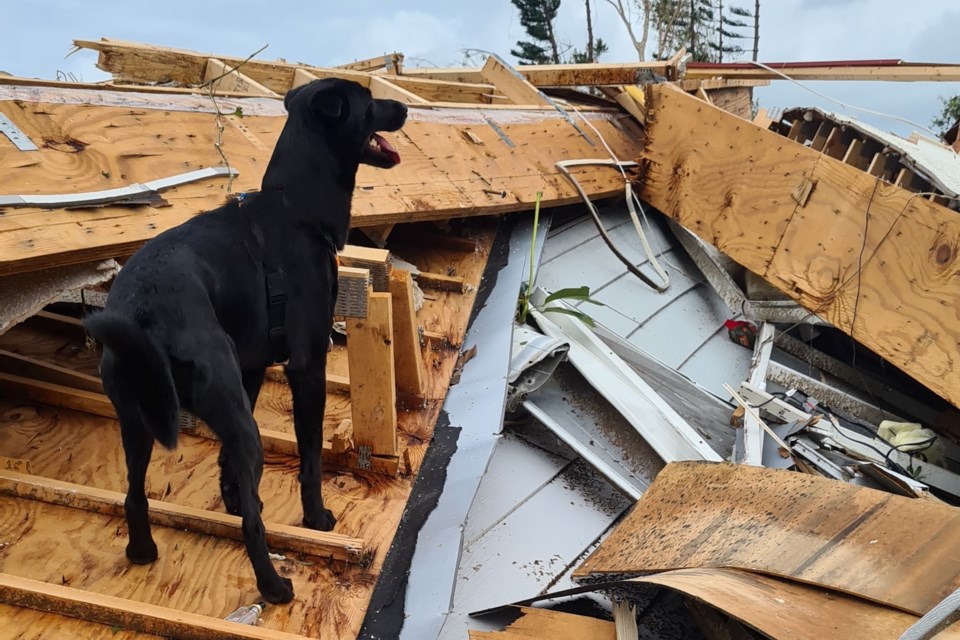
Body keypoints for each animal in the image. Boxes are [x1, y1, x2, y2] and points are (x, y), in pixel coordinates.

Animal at [84, 77, 406, 604]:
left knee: (134, 494)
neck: (296, 208)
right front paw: (316, 518)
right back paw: (274, 587)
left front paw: (233, 495)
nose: (403, 107)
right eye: (368, 99)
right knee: (253, 526)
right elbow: (310, 455)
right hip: (230, 411)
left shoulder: (250, 369)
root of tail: (144, 315)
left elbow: (227, 463)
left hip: (140, 417)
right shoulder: (308, 365)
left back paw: (142, 552)